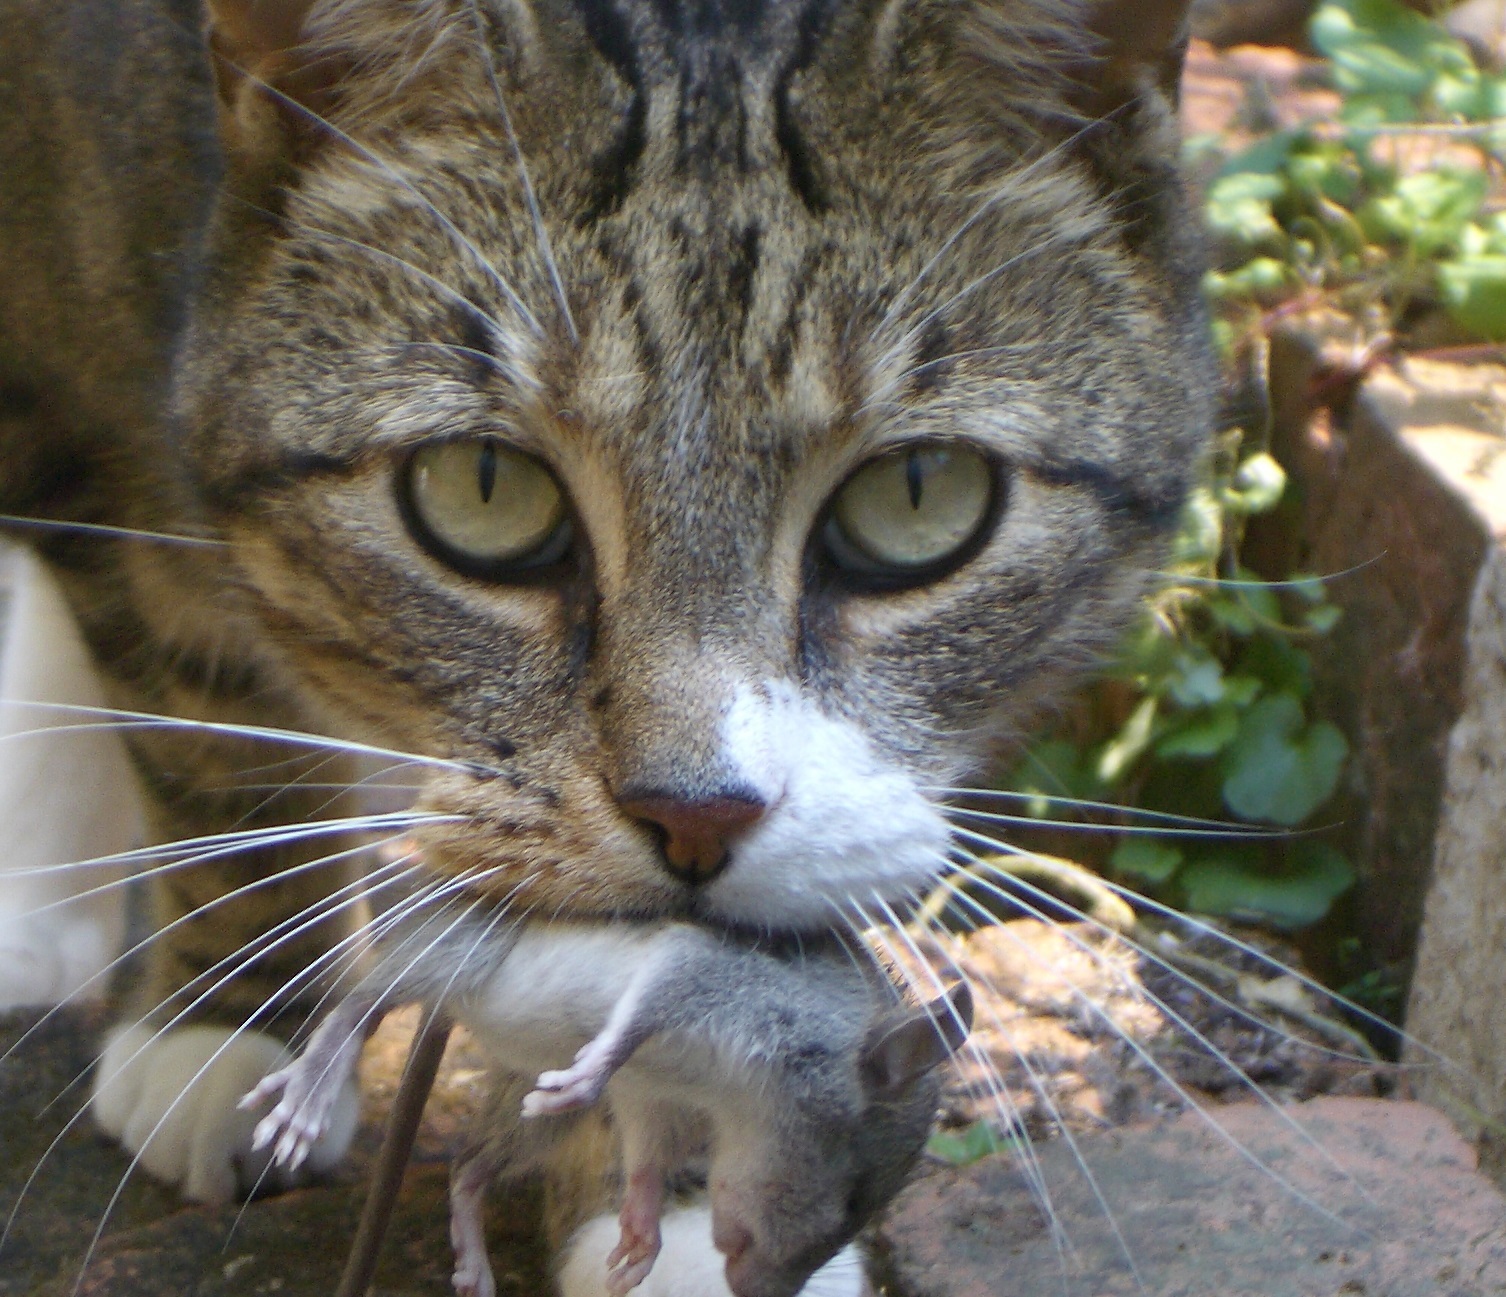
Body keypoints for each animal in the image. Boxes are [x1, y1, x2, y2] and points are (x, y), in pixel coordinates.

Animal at [0, 0, 1210, 1283]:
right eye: (481, 486)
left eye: (921, 491)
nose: (697, 813)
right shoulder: (70, 396)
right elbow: (210, 717)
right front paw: (226, 1021)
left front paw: (665, 1216)